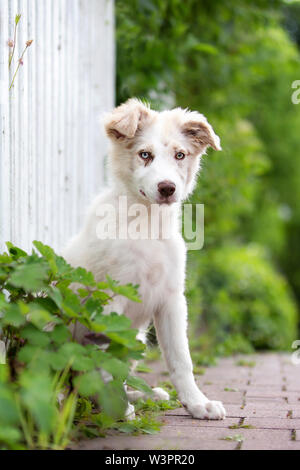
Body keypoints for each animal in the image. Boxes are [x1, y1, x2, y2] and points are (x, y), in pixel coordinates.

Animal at [63, 98, 225, 418]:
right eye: (144, 154)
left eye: (179, 155)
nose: (167, 188)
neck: (147, 225)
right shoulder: (111, 298)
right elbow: (106, 359)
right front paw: (119, 409)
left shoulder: (172, 299)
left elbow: (181, 359)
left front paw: (197, 403)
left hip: (136, 338)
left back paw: (140, 395)